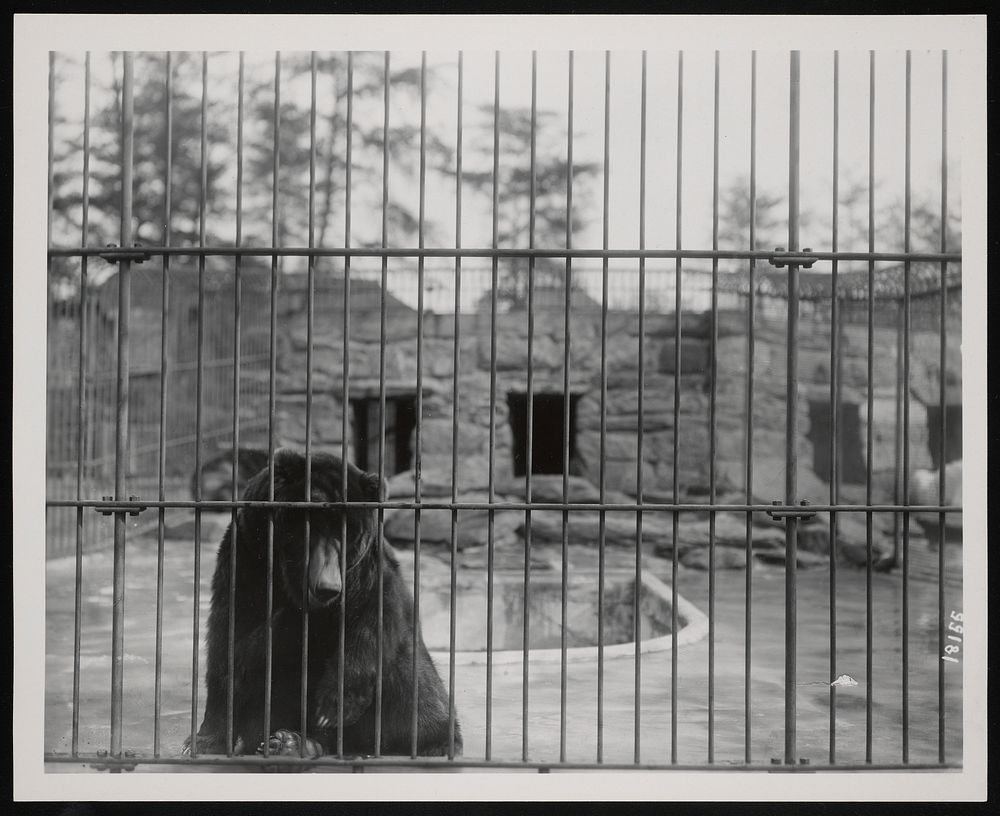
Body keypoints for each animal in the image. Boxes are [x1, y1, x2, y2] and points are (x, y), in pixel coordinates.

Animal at [184, 446, 460, 760]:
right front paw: (204, 740)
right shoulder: (246, 559)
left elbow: (374, 624)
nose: (328, 587)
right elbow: (231, 642)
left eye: (346, 532)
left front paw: (333, 707)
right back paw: (289, 742)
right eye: (310, 526)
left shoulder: (368, 571)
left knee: (416, 689)